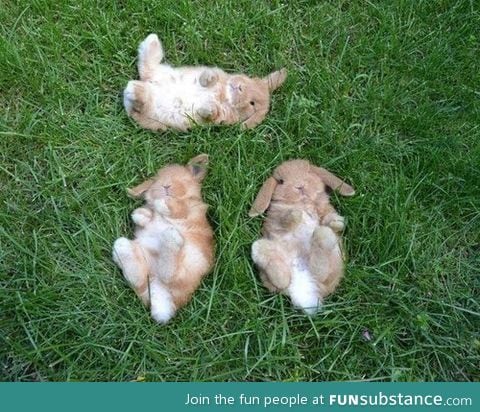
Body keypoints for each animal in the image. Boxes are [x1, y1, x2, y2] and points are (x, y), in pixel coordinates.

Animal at [112, 153, 214, 324]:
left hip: (192, 260)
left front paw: (162, 204)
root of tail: (160, 290)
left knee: (170, 275)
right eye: (157, 181)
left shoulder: (190, 210)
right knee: (139, 279)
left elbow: (178, 208)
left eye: (183, 180)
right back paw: (123, 248)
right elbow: (148, 216)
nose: (166, 186)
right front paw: (139, 214)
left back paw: (171, 239)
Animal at [125, 34, 286, 133]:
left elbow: (211, 113)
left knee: (141, 99)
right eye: (250, 81)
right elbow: (208, 79)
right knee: (147, 68)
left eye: (252, 104)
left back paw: (135, 90)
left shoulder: (220, 117)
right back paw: (152, 41)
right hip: (162, 73)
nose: (239, 87)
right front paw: (209, 77)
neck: (224, 95)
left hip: (151, 111)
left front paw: (208, 107)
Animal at [249, 159, 354, 314]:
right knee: (282, 279)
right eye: (281, 181)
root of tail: (303, 289)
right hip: (261, 247)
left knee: (320, 270)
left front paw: (338, 222)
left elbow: (329, 218)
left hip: (334, 259)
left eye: (309, 171)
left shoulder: (324, 210)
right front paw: (296, 215)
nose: (300, 186)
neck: (302, 203)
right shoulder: (276, 217)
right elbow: (284, 219)